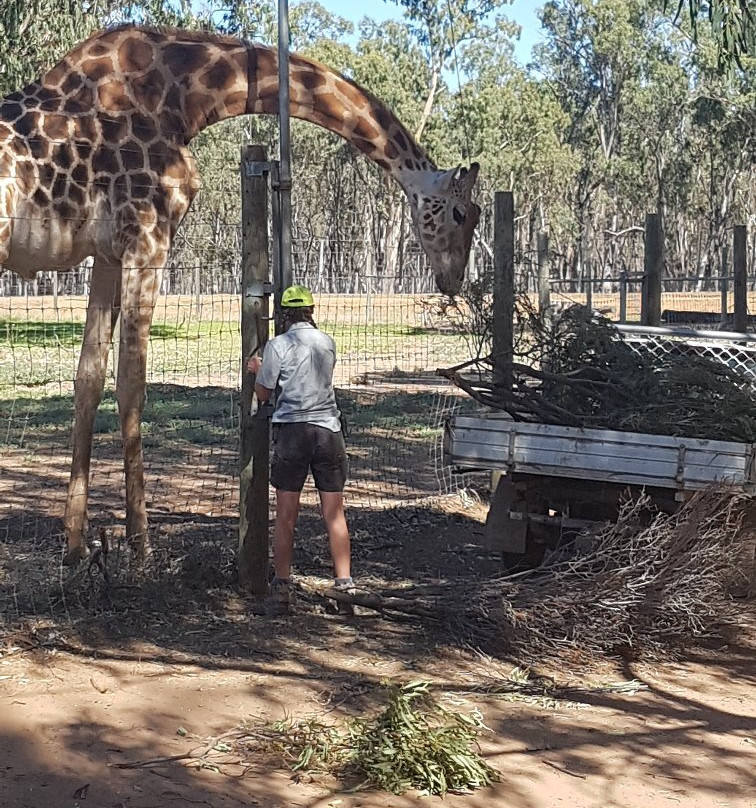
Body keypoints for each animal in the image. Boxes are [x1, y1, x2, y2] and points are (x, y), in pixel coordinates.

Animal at [0, 22, 482, 560]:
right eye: (461, 213)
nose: (453, 280)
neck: (183, 96)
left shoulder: (107, 252)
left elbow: (88, 379)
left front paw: (76, 547)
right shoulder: (147, 233)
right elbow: (131, 384)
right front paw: (142, 549)